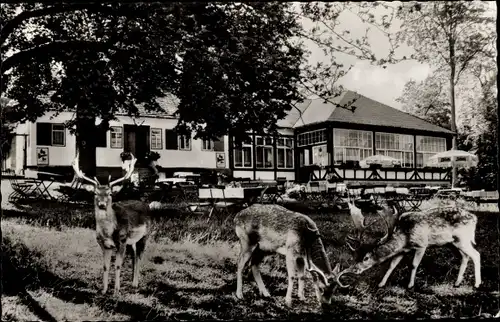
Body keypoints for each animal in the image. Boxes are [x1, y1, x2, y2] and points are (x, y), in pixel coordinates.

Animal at [72, 153, 150, 294]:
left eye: (110, 193)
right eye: (95, 193)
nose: (102, 204)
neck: (108, 232)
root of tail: (146, 204)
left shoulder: (121, 241)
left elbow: (118, 265)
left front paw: (116, 290)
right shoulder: (104, 245)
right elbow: (105, 266)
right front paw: (104, 290)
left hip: (144, 235)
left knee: (139, 256)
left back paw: (135, 284)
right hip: (131, 241)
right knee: (134, 256)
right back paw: (132, 282)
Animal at [338, 205, 482, 290]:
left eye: (366, 258)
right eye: (355, 256)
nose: (354, 270)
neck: (405, 238)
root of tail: (475, 218)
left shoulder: (421, 244)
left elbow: (413, 264)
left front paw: (410, 285)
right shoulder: (402, 251)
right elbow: (392, 265)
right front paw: (381, 284)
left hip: (463, 239)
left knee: (476, 254)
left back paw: (477, 284)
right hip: (452, 243)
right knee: (465, 257)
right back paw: (457, 283)